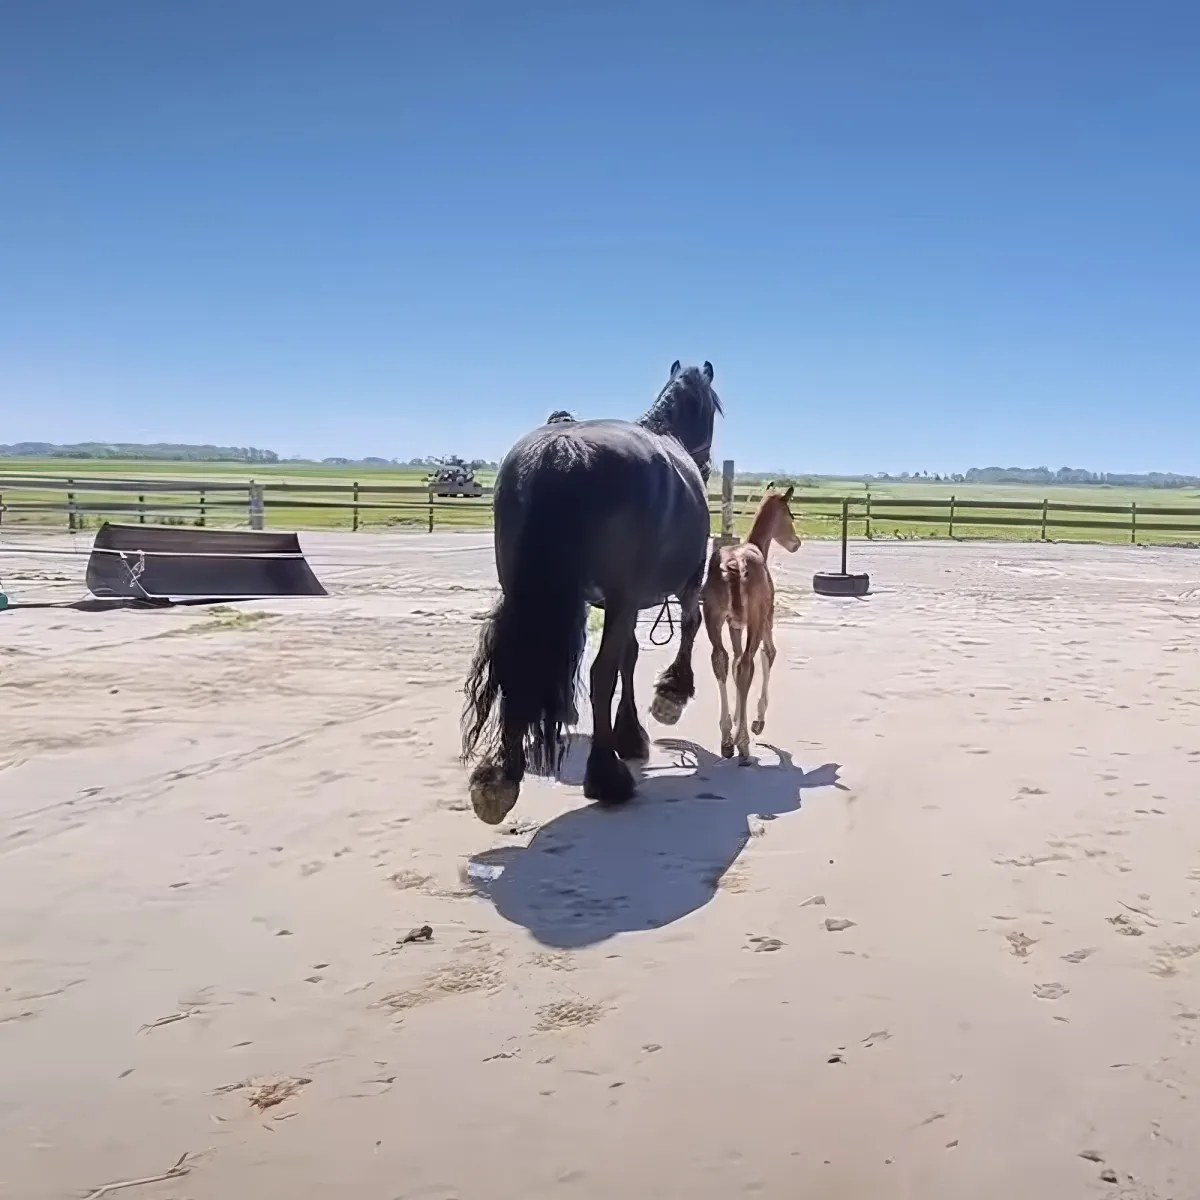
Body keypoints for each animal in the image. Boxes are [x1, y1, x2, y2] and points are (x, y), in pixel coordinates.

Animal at [461, 361, 723, 824]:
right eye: (713, 409)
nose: (706, 464)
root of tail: (561, 451)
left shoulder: (622, 602)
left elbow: (629, 657)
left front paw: (630, 733)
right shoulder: (678, 586)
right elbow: (685, 630)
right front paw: (670, 695)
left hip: (524, 594)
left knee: (518, 665)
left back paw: (501, 776)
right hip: (623, 596)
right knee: (600, 673)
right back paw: (607, 777)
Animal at [701, 484, 801, 762]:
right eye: (789, 514)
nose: (796, 543)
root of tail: (734, 564)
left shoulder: (734, 625)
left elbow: (734, 662)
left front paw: (736, 720)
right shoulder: (766, 619)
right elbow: (769, 654)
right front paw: (756, 722)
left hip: (712, 617)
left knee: (720, 659)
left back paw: (726, 739)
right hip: (756, 620)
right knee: (748, 663)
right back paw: (743, 744)